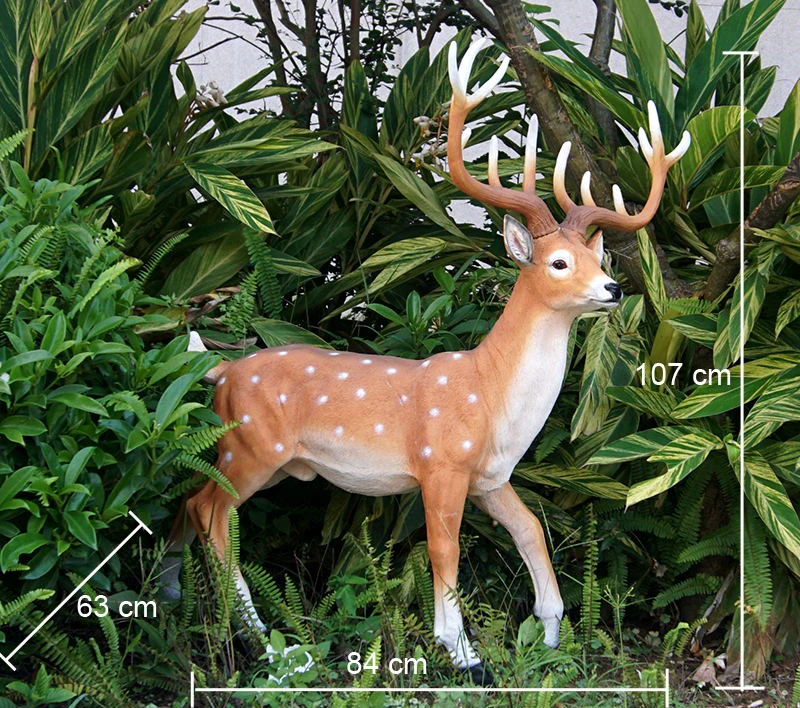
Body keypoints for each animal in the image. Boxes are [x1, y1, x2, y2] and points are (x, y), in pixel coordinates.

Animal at [161, 38, 690, 684]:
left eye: (598, 258)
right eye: (559, 263)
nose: (613, 289)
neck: (491, 394)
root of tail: (220, 371)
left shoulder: (491, 476)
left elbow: (532, 530)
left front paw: (550, 635)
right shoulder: (442, 464)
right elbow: (445, 549)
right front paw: (462, 652)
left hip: (257, 456)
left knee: (186, 501)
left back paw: (177, 600)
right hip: (251, 446)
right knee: (211, 514)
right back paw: (269, 645)